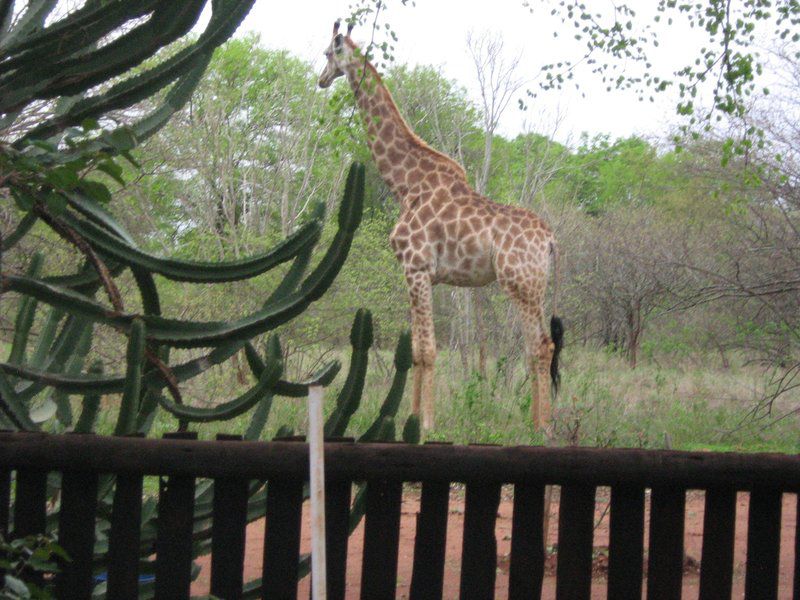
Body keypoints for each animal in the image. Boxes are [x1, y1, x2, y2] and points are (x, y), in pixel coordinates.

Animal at [318, 21, 564, 428]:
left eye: (327, 53)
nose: (321, 79)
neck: (406, 185)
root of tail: (549, 240)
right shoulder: (419, 274)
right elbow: (416, 350)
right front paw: (411, 419)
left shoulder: (416, 267)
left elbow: (429, 350)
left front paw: (427, 424)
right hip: (535, 286)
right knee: (539, 347)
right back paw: (534, 423)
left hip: (522, 284)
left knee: (541, 346)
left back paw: (542, 427)